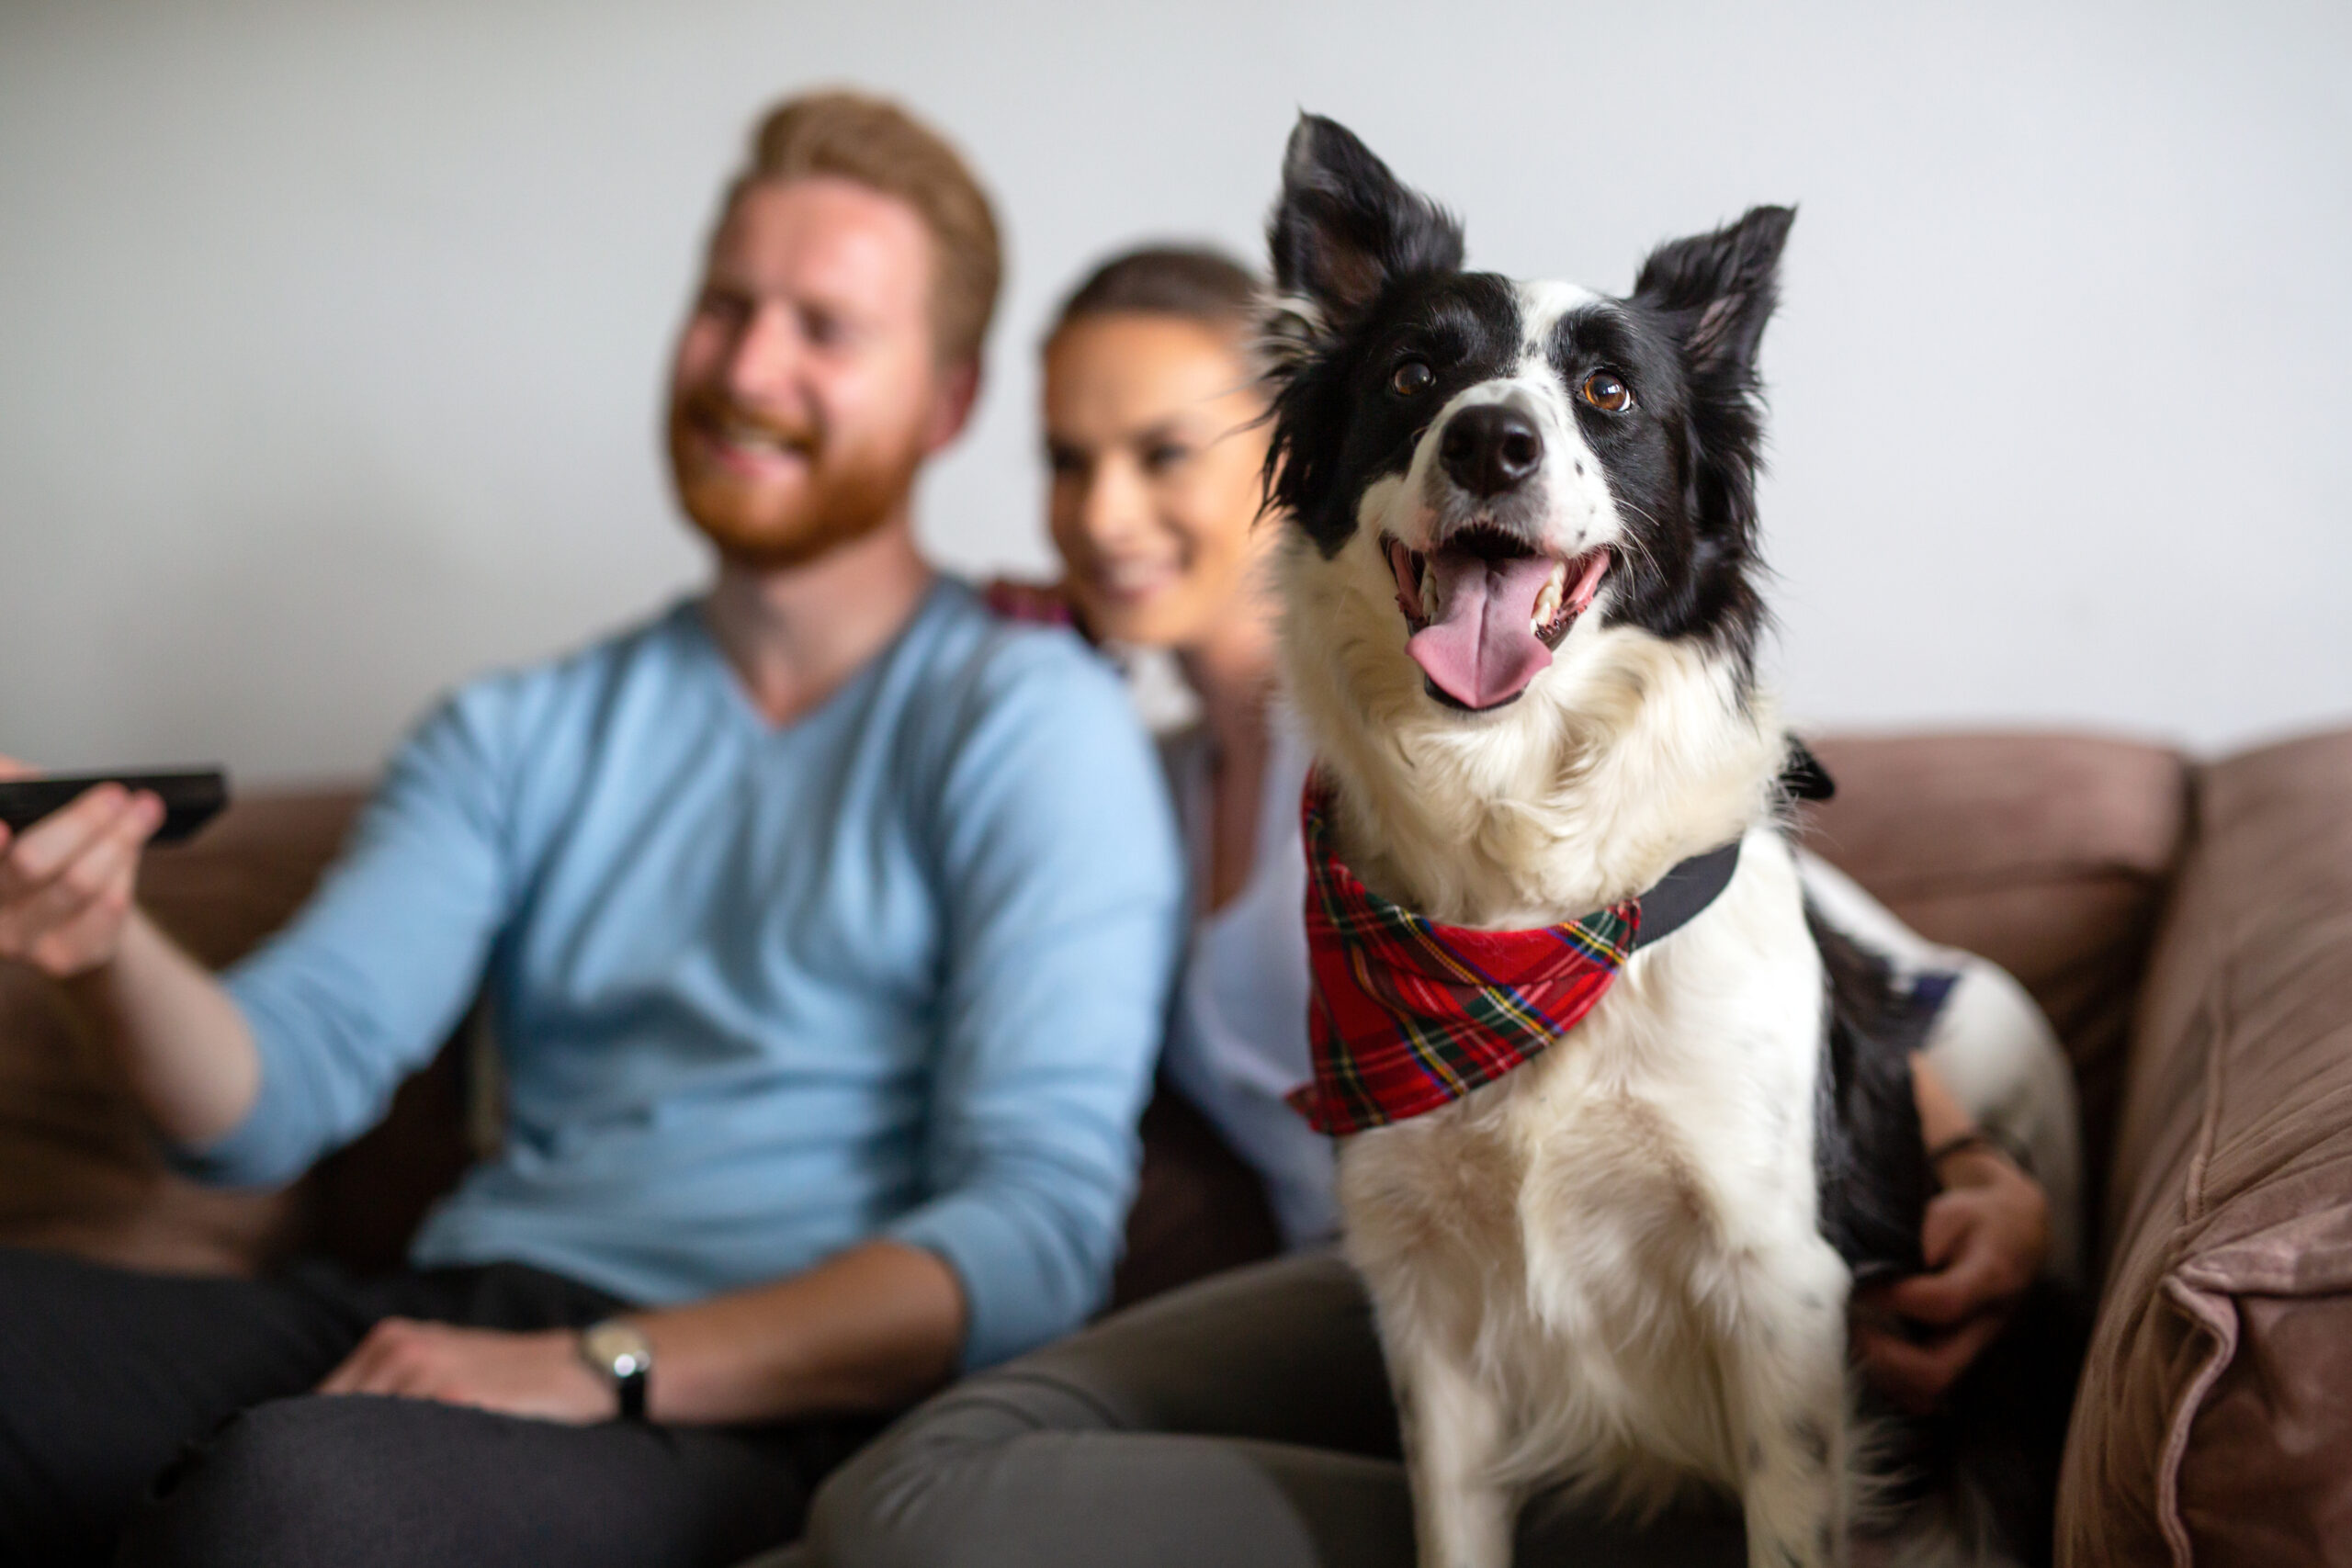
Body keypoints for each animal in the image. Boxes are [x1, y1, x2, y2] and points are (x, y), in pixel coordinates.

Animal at [1261, 113, 2051, 1568]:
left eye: (1608, 395)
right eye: (1414, 373)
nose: (1493, 442)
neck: (1525, 918)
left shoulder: (1777, 1289)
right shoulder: (1426, 1307)